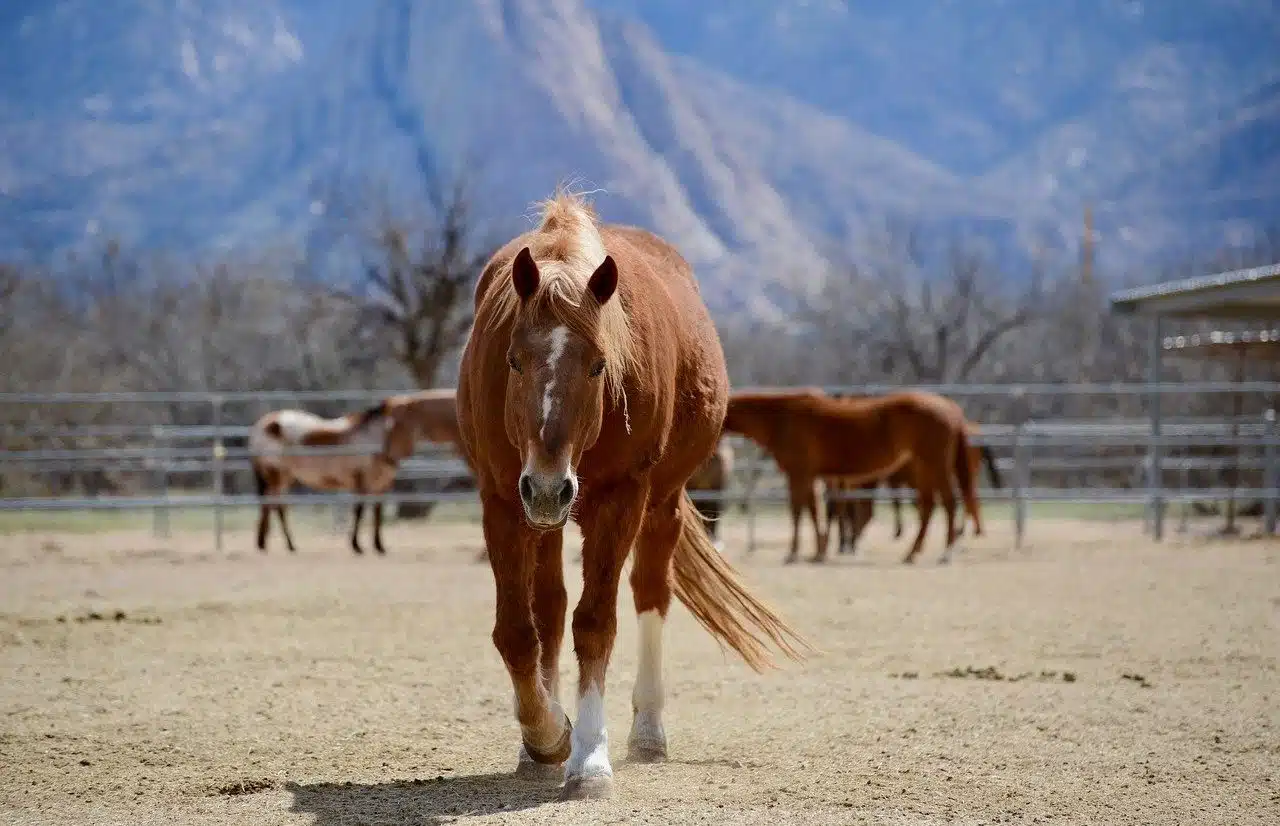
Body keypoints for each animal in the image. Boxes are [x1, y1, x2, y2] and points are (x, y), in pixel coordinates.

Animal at [244, 389, 460, 553]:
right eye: (394, 425)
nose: (389, 456)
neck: (372, 437)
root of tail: (265, 423)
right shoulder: (360, 481)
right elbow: (359, 510)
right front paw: (356, 545)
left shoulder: (381, 485)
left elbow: (377, 513)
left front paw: (379, 546)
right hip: (274, 474)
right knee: (276, 506)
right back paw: (288, 545)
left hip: (284, 477)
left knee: (272, 506)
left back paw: (267, 543)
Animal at [455, 192, 808, 799]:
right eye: (513, 361)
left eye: (600, 364)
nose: (547, 486)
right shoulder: (502, 500)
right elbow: (518, 632)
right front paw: (546, 734)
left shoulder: (621, 499)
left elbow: (596, 623)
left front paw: (589, 757)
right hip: (543, 516)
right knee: (550, 607)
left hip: (658, 505)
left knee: (649, 595)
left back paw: (647, 733)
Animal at [721, 389, 967, 563]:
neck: (783, 418)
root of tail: (950, 408)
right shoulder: (811, 476)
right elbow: (814, 512)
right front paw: (818, 552)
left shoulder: (799, 474)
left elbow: (798, 511)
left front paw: (793, 553)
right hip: (923, 468)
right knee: (928, 507)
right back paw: (912, 553)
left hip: (935, 466)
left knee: (949, 503)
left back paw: (946, 553)